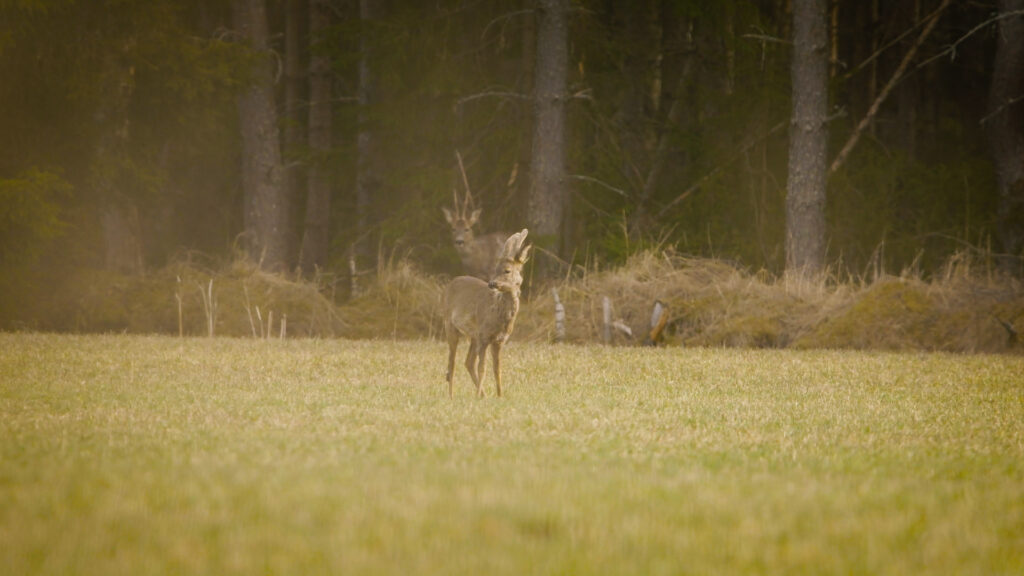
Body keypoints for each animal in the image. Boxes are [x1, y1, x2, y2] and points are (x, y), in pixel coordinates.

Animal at [442, 226, 532, 397]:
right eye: (495, 269)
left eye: (507, 270)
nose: (492, 283)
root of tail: (451, 282)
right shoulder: (484, 335)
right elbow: (482, 368)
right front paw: (478, 396)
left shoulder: (499, 340)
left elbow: (497, 370)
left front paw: (500, 395)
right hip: (450, 324)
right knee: (452, 363)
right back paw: (451, 396)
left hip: (473, 336)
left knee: (468, 361)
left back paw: (483, 394)